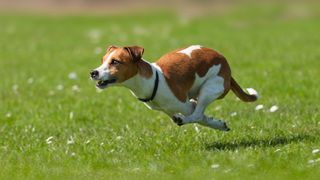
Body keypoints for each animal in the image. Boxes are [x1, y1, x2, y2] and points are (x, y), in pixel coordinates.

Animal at [90, 45, 258, 131]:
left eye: (115, 61)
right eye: (103, 60)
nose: (93, 72)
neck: (153, 81)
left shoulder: (186, 106)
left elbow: (198, 116)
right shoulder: (173, 108)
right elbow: (204, 118)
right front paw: (218, 124)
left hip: (209, 89)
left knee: (197, 114)